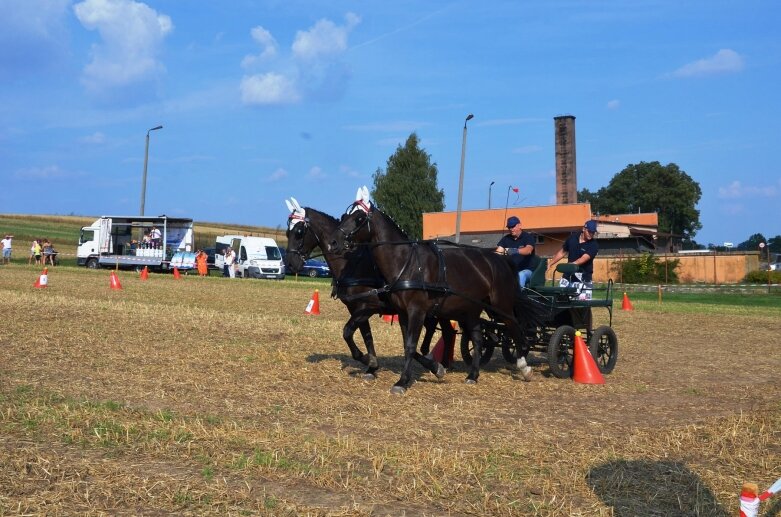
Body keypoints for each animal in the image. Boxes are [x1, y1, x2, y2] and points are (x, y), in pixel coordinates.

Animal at [284, 198, 454, 378]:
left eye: (299, 232)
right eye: (287, 233)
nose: (290, 264)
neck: (352, 264)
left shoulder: (369, 306)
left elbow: (348, 332)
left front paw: (368, 360)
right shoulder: (355, 308)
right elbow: (366, 336)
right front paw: (372, 365)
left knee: (447, 332)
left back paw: (443, 364)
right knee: (447, 332)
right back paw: (444, 363)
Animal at [326, 189, 540, 396]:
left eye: (359, 218)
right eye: (344, 215)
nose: (333, 243)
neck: (407, 263)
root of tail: (500, 259)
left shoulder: (415, 311)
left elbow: (411, 345)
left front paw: (402, 382)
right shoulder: (402, 313)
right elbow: (407, 345)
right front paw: (435, 369)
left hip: (500, 305)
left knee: (514, 328)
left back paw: (524, 367)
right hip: (470, 310)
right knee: (478, 338)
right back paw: (473, 375)